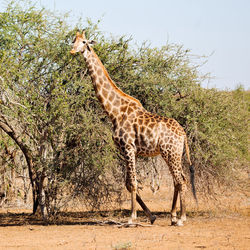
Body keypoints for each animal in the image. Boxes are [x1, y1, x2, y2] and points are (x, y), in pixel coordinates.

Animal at [71, 30, 197, 226]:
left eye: (84, 42)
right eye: (73, 40)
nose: (72, 50)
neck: (114, 111)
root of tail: (183, 133)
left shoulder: (129, 147)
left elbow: (134, 183)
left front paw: (131, 217)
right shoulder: (126, 150)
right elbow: (128, 183)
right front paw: (151, 216)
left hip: (171, 152)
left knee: (181, 180)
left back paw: (181, 218)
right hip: (170, 153)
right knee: (178, 180)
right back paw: (173, 216)